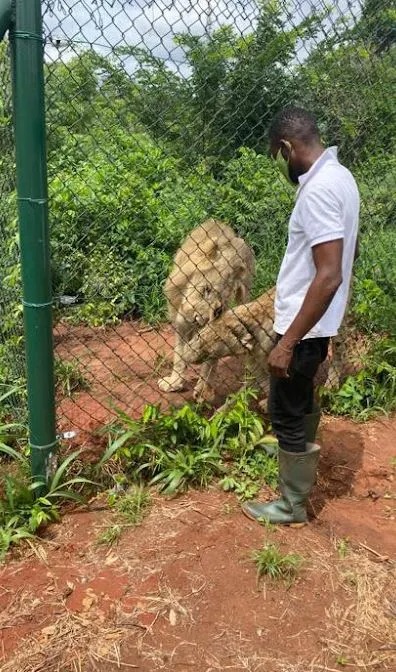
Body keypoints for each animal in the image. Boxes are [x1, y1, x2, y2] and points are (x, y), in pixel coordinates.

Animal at [157, 219, 254, 400]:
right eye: (206, 289)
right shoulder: (181, 325)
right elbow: (179, 355)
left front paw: (203, 389)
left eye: (217, 308)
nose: (197, 319)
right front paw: (174, 383)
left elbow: (211, 359)